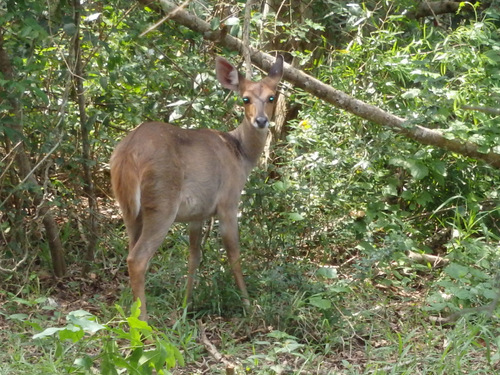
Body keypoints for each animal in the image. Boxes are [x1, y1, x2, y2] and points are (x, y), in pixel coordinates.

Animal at [111, 55, 284, 320]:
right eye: (245, 98)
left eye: (272, 97)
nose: (261, 120)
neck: (239, 153)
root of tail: (128, 153)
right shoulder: (228, 201)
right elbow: (234, 254)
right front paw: (248, 305)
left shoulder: (197, 214)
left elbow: (194, 255)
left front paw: (185, 306)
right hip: (162, 203)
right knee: (137, 259)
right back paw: (145, 325)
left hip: (127, 207)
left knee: (130, 250)